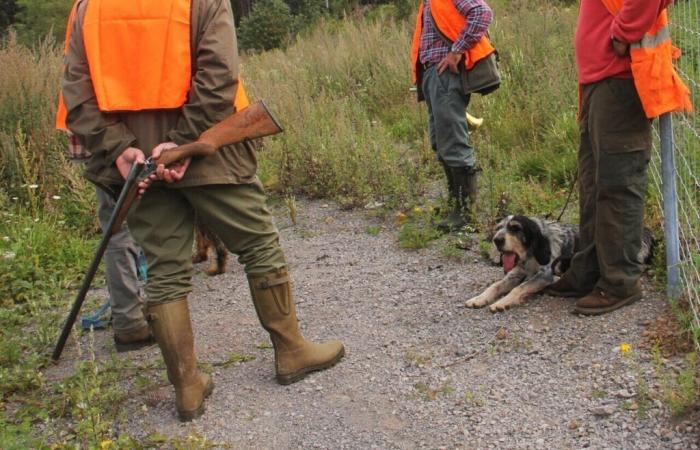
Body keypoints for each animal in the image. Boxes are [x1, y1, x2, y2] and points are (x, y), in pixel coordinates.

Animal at [468, 214, 652, 312]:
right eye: (499, 227)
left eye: (516, 228)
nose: (496, 240)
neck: (531, 254)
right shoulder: (516, 273)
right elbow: (495, 286)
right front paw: (479, 298)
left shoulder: (544, 275)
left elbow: (518, 288)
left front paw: (502, 302)